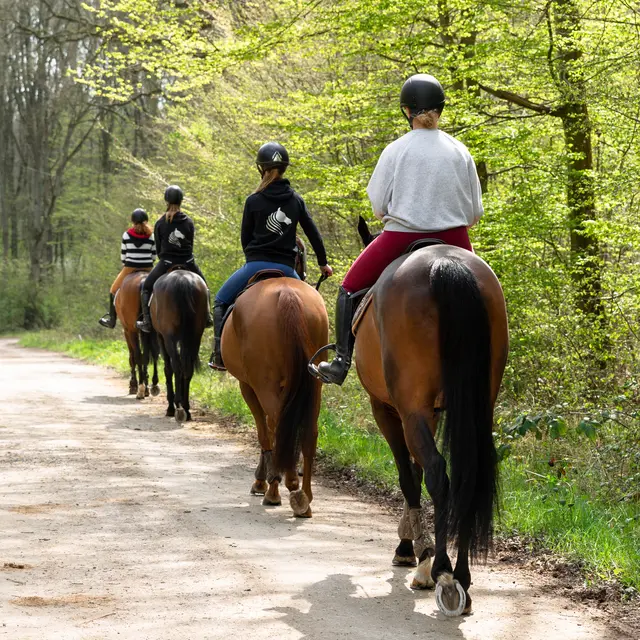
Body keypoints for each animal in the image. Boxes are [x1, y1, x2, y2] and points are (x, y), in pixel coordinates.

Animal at [114, 271, 160, 399]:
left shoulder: (127, 331)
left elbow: (132, 357)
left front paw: (133, 385)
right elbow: (147, 355)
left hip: (132, 331)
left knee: (138, 355)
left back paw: (140, 389)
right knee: (153, 354)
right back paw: (152, 386)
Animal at [150, 269, 208, 422]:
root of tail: (183, 280)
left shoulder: (161, 337)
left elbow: (168, 369)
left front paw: (171, 406)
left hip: (169, 338)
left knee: (175, 366)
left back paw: (177, 408)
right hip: (195, 337)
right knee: (187, 367)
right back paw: (186, 408)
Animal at [221, 267, 328, 518]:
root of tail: (287, 294)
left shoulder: (248, 387)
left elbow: (264, 431)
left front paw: (263, 481)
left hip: (264, 385)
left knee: (281, 427)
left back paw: (283, 488)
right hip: (314, 384)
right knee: (308, 432)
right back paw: (305, 497)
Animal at [353, 218, 508, 616]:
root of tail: (444, 264)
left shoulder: (388, 409)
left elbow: (409, 476)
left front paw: (414, 552)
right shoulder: (432, 412)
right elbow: (416, 469)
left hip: (408, 409)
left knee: (439, 473)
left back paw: (444, 572)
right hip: (475, 407)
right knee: (467, 475)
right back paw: (463, 577)